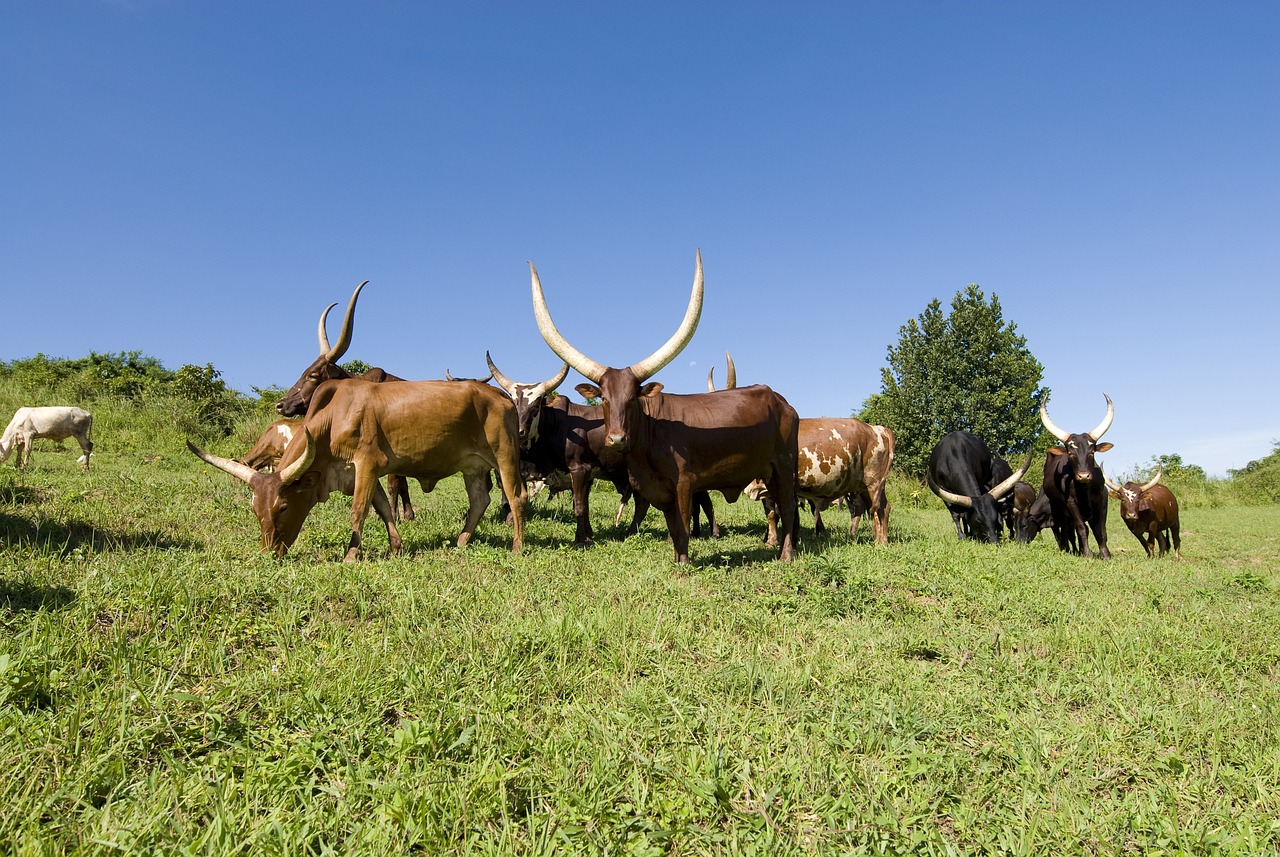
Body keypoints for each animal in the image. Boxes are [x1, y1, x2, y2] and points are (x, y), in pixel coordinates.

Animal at [186, 378, 524, 560]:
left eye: (283, 507)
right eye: (256, 510)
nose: (270, 552)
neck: (334, 419)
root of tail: (501, 396)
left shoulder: (368, 464)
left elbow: (358, 510)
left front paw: (351, 554)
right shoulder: (365, 473)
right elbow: (384, 508)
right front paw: (396, 547)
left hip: (505, 457)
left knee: (515, 498)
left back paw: (517, 546)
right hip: (473, 467)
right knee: (479, 500)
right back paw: (461, 541)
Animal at [275, 281, 414, 524]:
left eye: (313, 375)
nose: (281, 404)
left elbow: (394, 483)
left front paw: (397, 515)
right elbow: (400, 483)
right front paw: (407, 515)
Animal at [524, 251, 793, 567]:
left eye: (633, 398)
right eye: (603, 398)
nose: (617, 439)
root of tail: (781, 401)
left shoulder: (685, 483)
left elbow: (683, 524)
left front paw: (684, 563)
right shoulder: (657, 489)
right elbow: (673, 526)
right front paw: (677, 558)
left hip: (784, 467)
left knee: (787, 508)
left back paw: (786, 555)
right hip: (769, 472)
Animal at [747, 419, 896, 547]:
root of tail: (877, 428)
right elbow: (771, 515)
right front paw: (770, 541)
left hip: (872, 484)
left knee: (878, 510)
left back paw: (880, 542)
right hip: (864, 487)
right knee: (880, 508)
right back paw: (875, 539)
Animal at [1034, 393, 1116, 557]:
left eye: (1092, 452)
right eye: (1071, 453)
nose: (1084, 476)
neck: (1085, 490)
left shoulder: (1102, 499)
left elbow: (1101, 530)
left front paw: (1105, 554)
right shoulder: (1071, 503)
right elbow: (1081, 528)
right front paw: (1087, 553)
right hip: (1059, 508)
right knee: (1067, 530)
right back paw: (1068, 549)